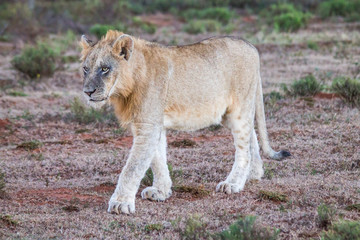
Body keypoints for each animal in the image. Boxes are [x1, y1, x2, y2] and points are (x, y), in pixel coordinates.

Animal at [78, 30, 290, 214]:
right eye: (85, 69)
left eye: (105, 69)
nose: (87, 92)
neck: (126, 87)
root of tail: (250, 46)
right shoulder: (153, 124)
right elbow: (157, 160)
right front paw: (161, 191)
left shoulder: (147, 126)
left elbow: (133, 167)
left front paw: (120, 203)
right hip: (227, 114)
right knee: (251, 134)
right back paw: (254, 173)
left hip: (239, 108)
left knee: (243, 148)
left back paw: (234, 183)